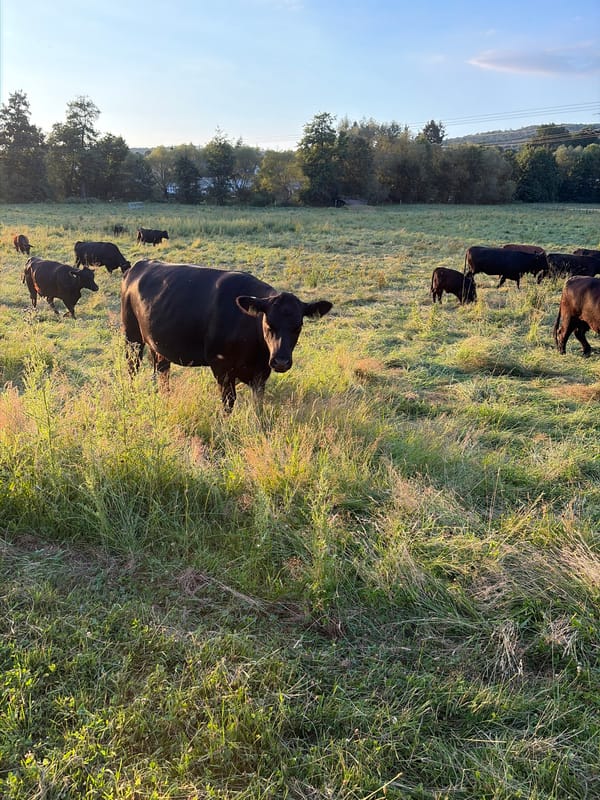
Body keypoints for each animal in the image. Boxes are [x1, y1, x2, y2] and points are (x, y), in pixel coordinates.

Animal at [121, 259, 333, 411]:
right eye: (268, 324)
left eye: (298, 326)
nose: (281, 361)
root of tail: (140, 264)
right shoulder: (221, 366)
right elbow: (228, 402)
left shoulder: (261, 372)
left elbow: (258, 404)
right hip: (132, 338)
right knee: (132, 368)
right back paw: (131, 397)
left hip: (158, 346)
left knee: (162, 372)